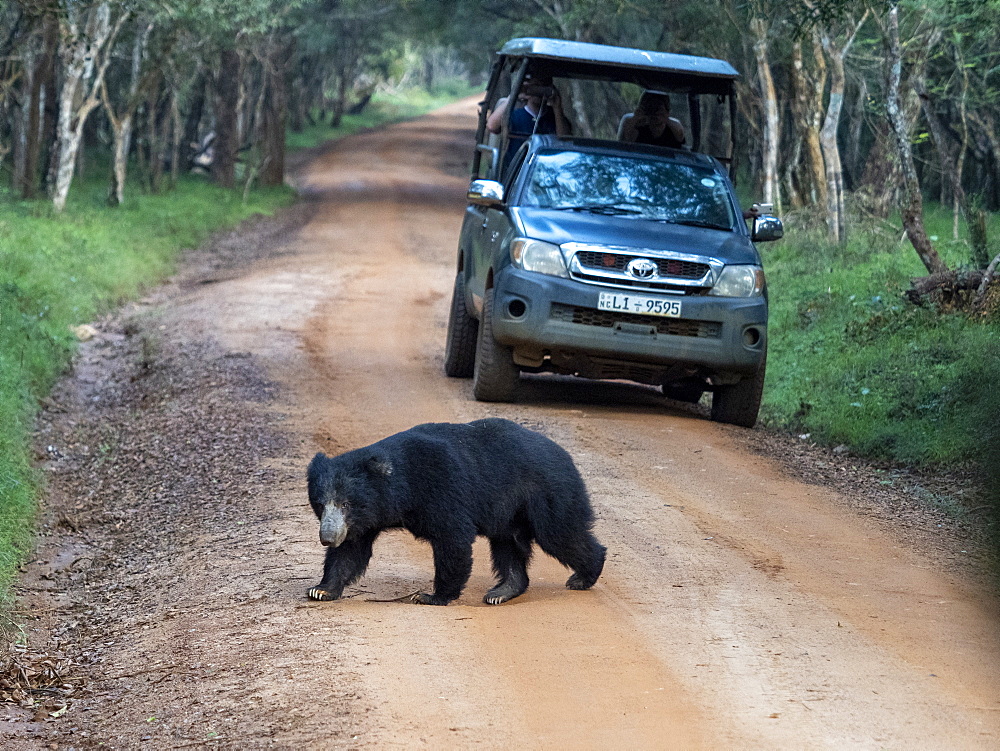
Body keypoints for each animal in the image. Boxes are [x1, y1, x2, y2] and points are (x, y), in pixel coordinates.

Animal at [304, 418, 604, 604]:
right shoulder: (365, 519)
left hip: (547, 492)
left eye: (345, 503)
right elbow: (351, 550)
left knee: (562, 534)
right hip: (510, 513)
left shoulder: (442, 488)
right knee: (509, 546)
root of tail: (564, 454)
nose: (327, 538)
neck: (401, 487)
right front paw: (320, 589)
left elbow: (452, 537)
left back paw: (583, 575)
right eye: (320, 503)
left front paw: (431, 596)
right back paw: (501, 591)